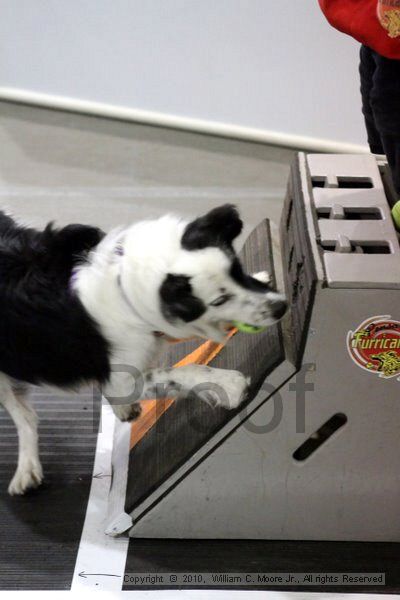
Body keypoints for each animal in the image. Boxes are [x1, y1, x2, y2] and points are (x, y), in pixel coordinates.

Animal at [0, 204, 288, 494]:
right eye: (219, 299)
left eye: (237, 270)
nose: (281, 307)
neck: (124, 285)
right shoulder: (122, 378)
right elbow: (179, 372)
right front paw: (228, 383)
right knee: (24, 416)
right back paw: (27, 468)